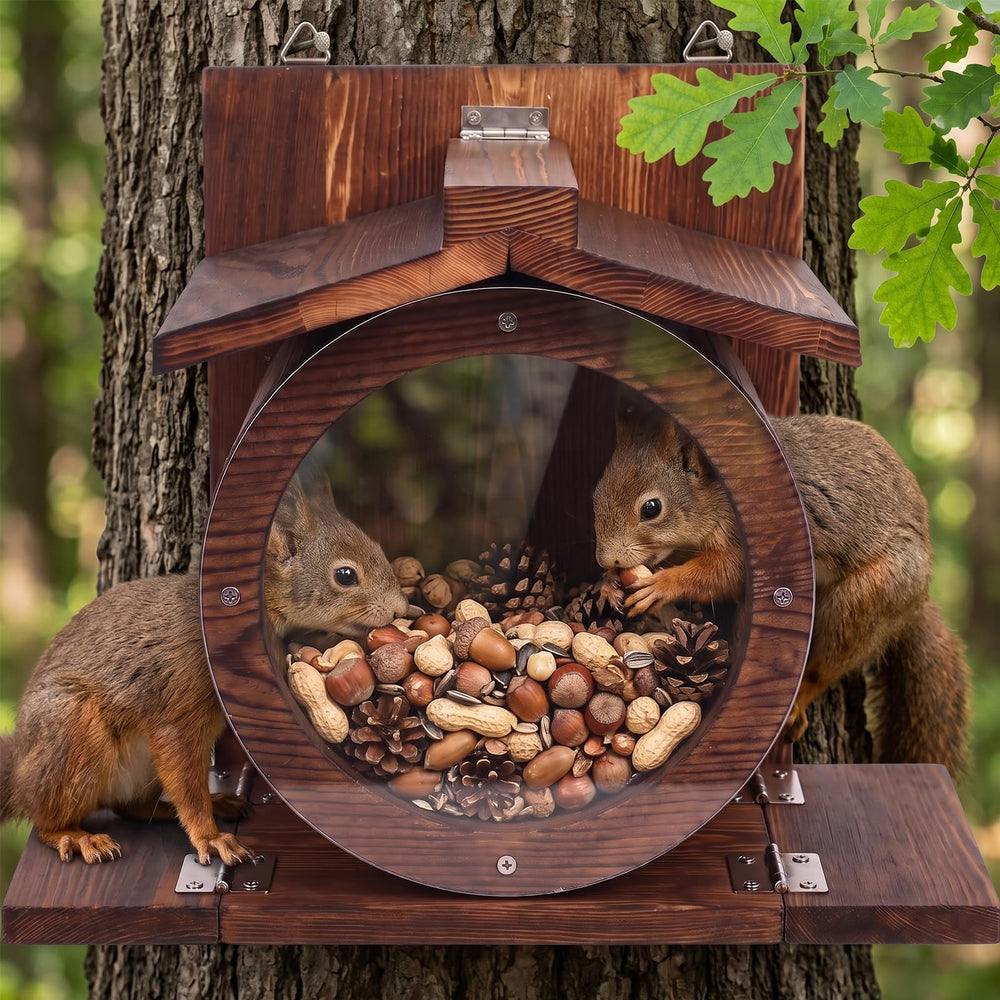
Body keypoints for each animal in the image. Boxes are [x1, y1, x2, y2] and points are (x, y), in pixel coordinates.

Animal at [0, 473, 408, 864]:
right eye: (345, 575)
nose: (400, 608)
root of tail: (18, 768)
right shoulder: (178, 702)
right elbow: (183, 771)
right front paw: (210, 838)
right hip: (70, 729)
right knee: (47, 820)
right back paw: (76, 837)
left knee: (132, 807)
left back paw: (214, 802)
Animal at [593, 408, 970, 779]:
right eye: (595, 494)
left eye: (652, 508)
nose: (606, 559)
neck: (712, 495)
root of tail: (917, 603)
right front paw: (607, 583)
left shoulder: (743, 540)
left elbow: (725, 573)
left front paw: (661, 585)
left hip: (868, 598)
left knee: (828, 663)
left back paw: (801, 698)